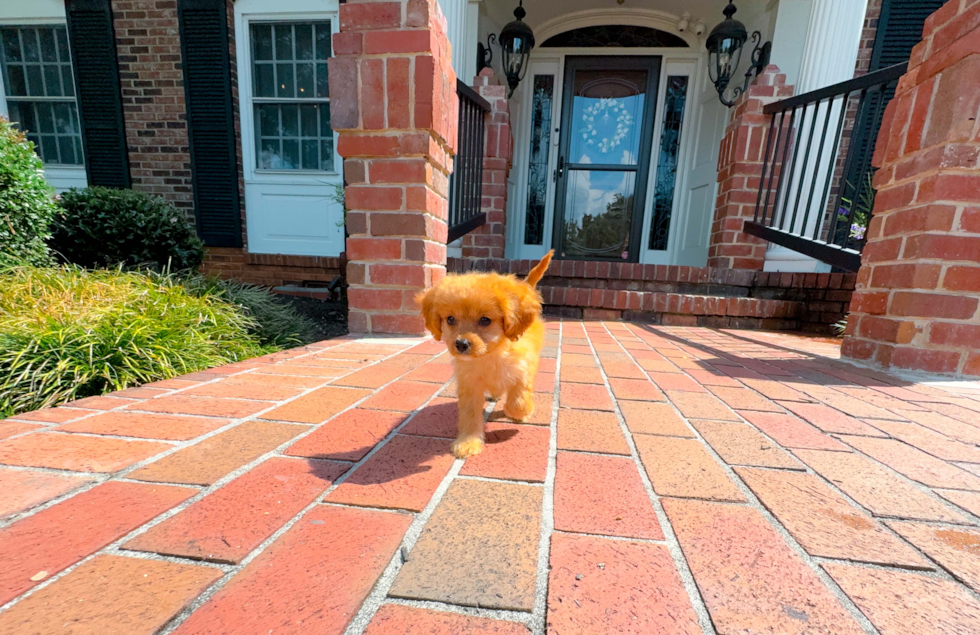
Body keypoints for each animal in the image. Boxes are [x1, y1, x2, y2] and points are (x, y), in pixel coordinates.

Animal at [414, 251, 552, 460]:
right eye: (450, 319)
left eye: (485, 320)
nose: (461, 344)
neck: (490, 356)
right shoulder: (469, 385)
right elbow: (470, 416)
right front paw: (468, 442)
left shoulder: (524, 367)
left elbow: (518, 396)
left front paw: (520, 412)